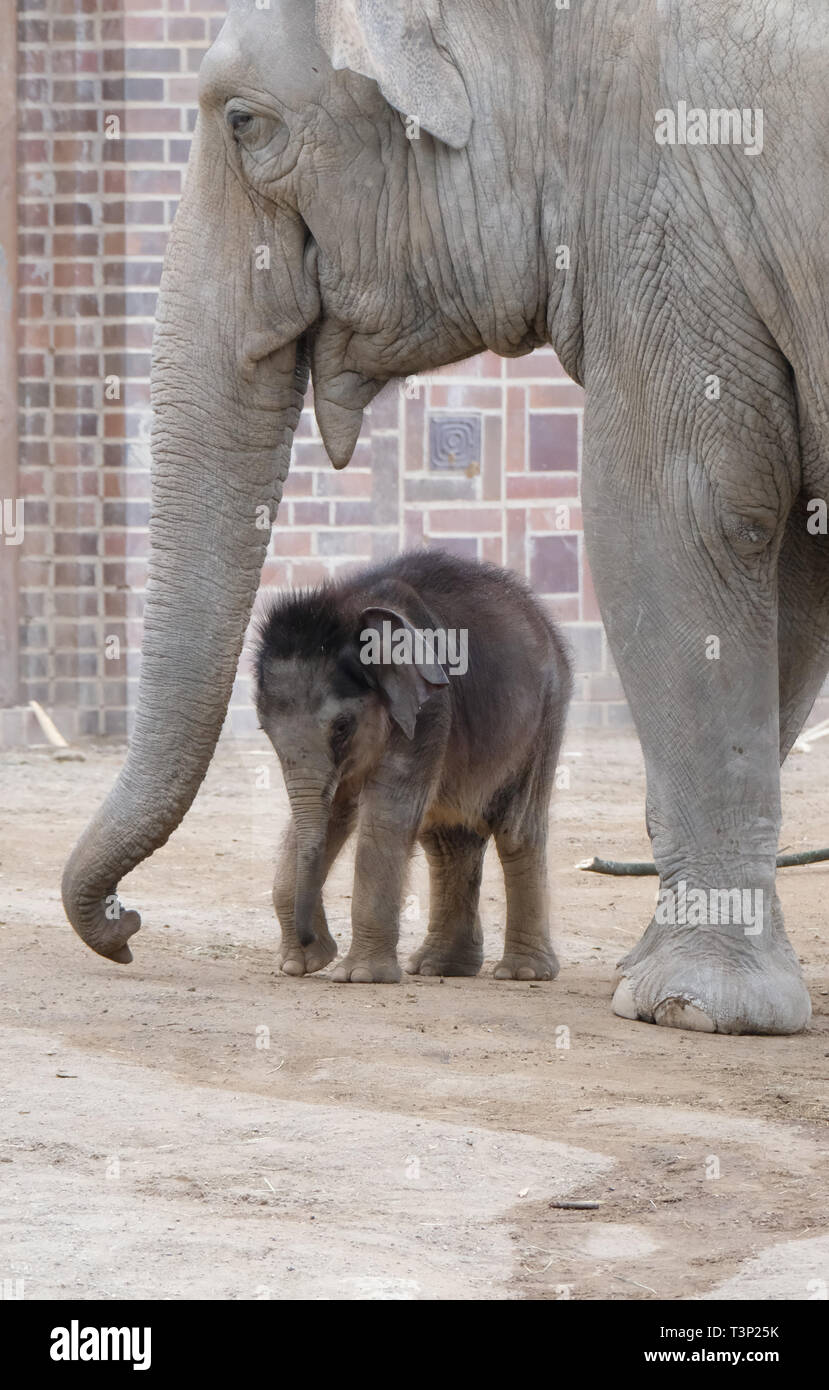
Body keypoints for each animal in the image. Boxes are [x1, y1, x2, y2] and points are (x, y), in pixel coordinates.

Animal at [255, 547, 573, 984]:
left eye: (342, 726)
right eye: (263, 728)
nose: (313, 943)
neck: (350, 608)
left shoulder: (428, 710)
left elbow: (386, 817)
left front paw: (359, 977)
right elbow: (333, 810)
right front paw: (298, 965)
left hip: (546, 714)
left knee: (516, 830)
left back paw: (523, 973)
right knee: (447, 838)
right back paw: (439, 967)